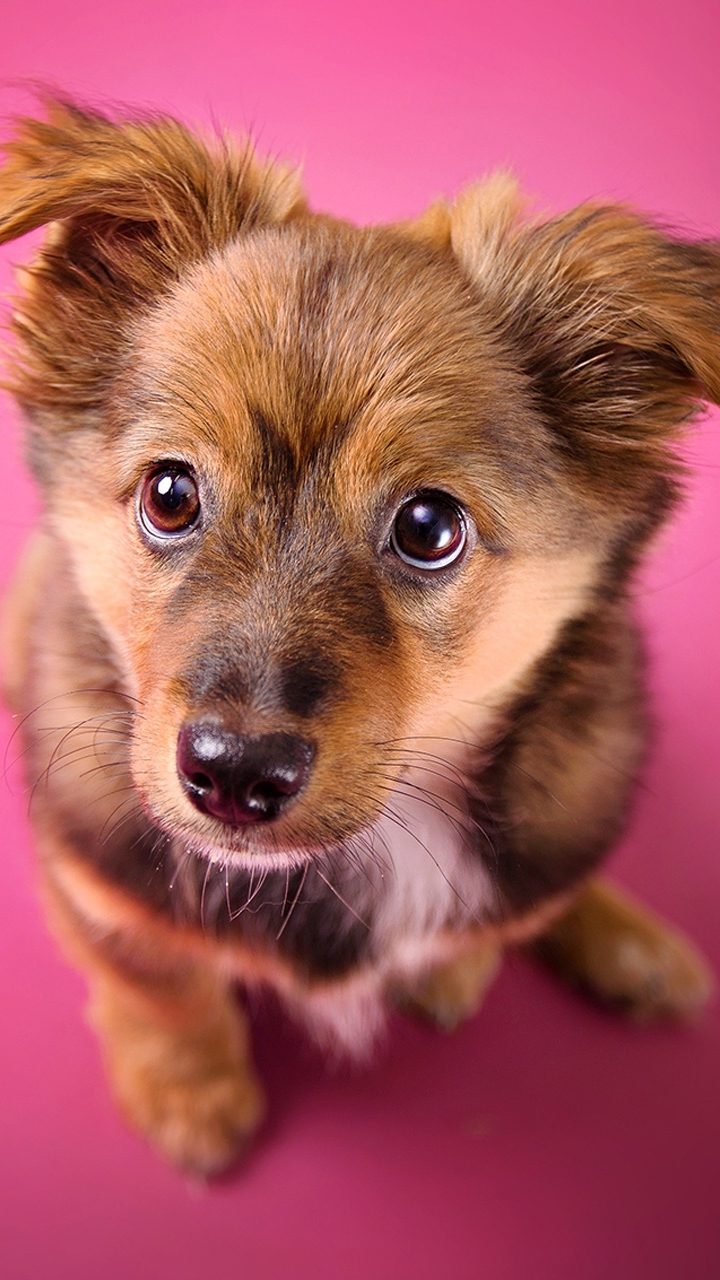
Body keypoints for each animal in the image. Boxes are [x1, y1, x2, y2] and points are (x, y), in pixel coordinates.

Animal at [0, 97, 712, 1177]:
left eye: (428, 526)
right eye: (169, 494)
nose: (234, 774)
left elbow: (491, 921)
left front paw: (452, 970)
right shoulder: (95, 871)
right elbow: (159, 982)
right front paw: (190, 1091)